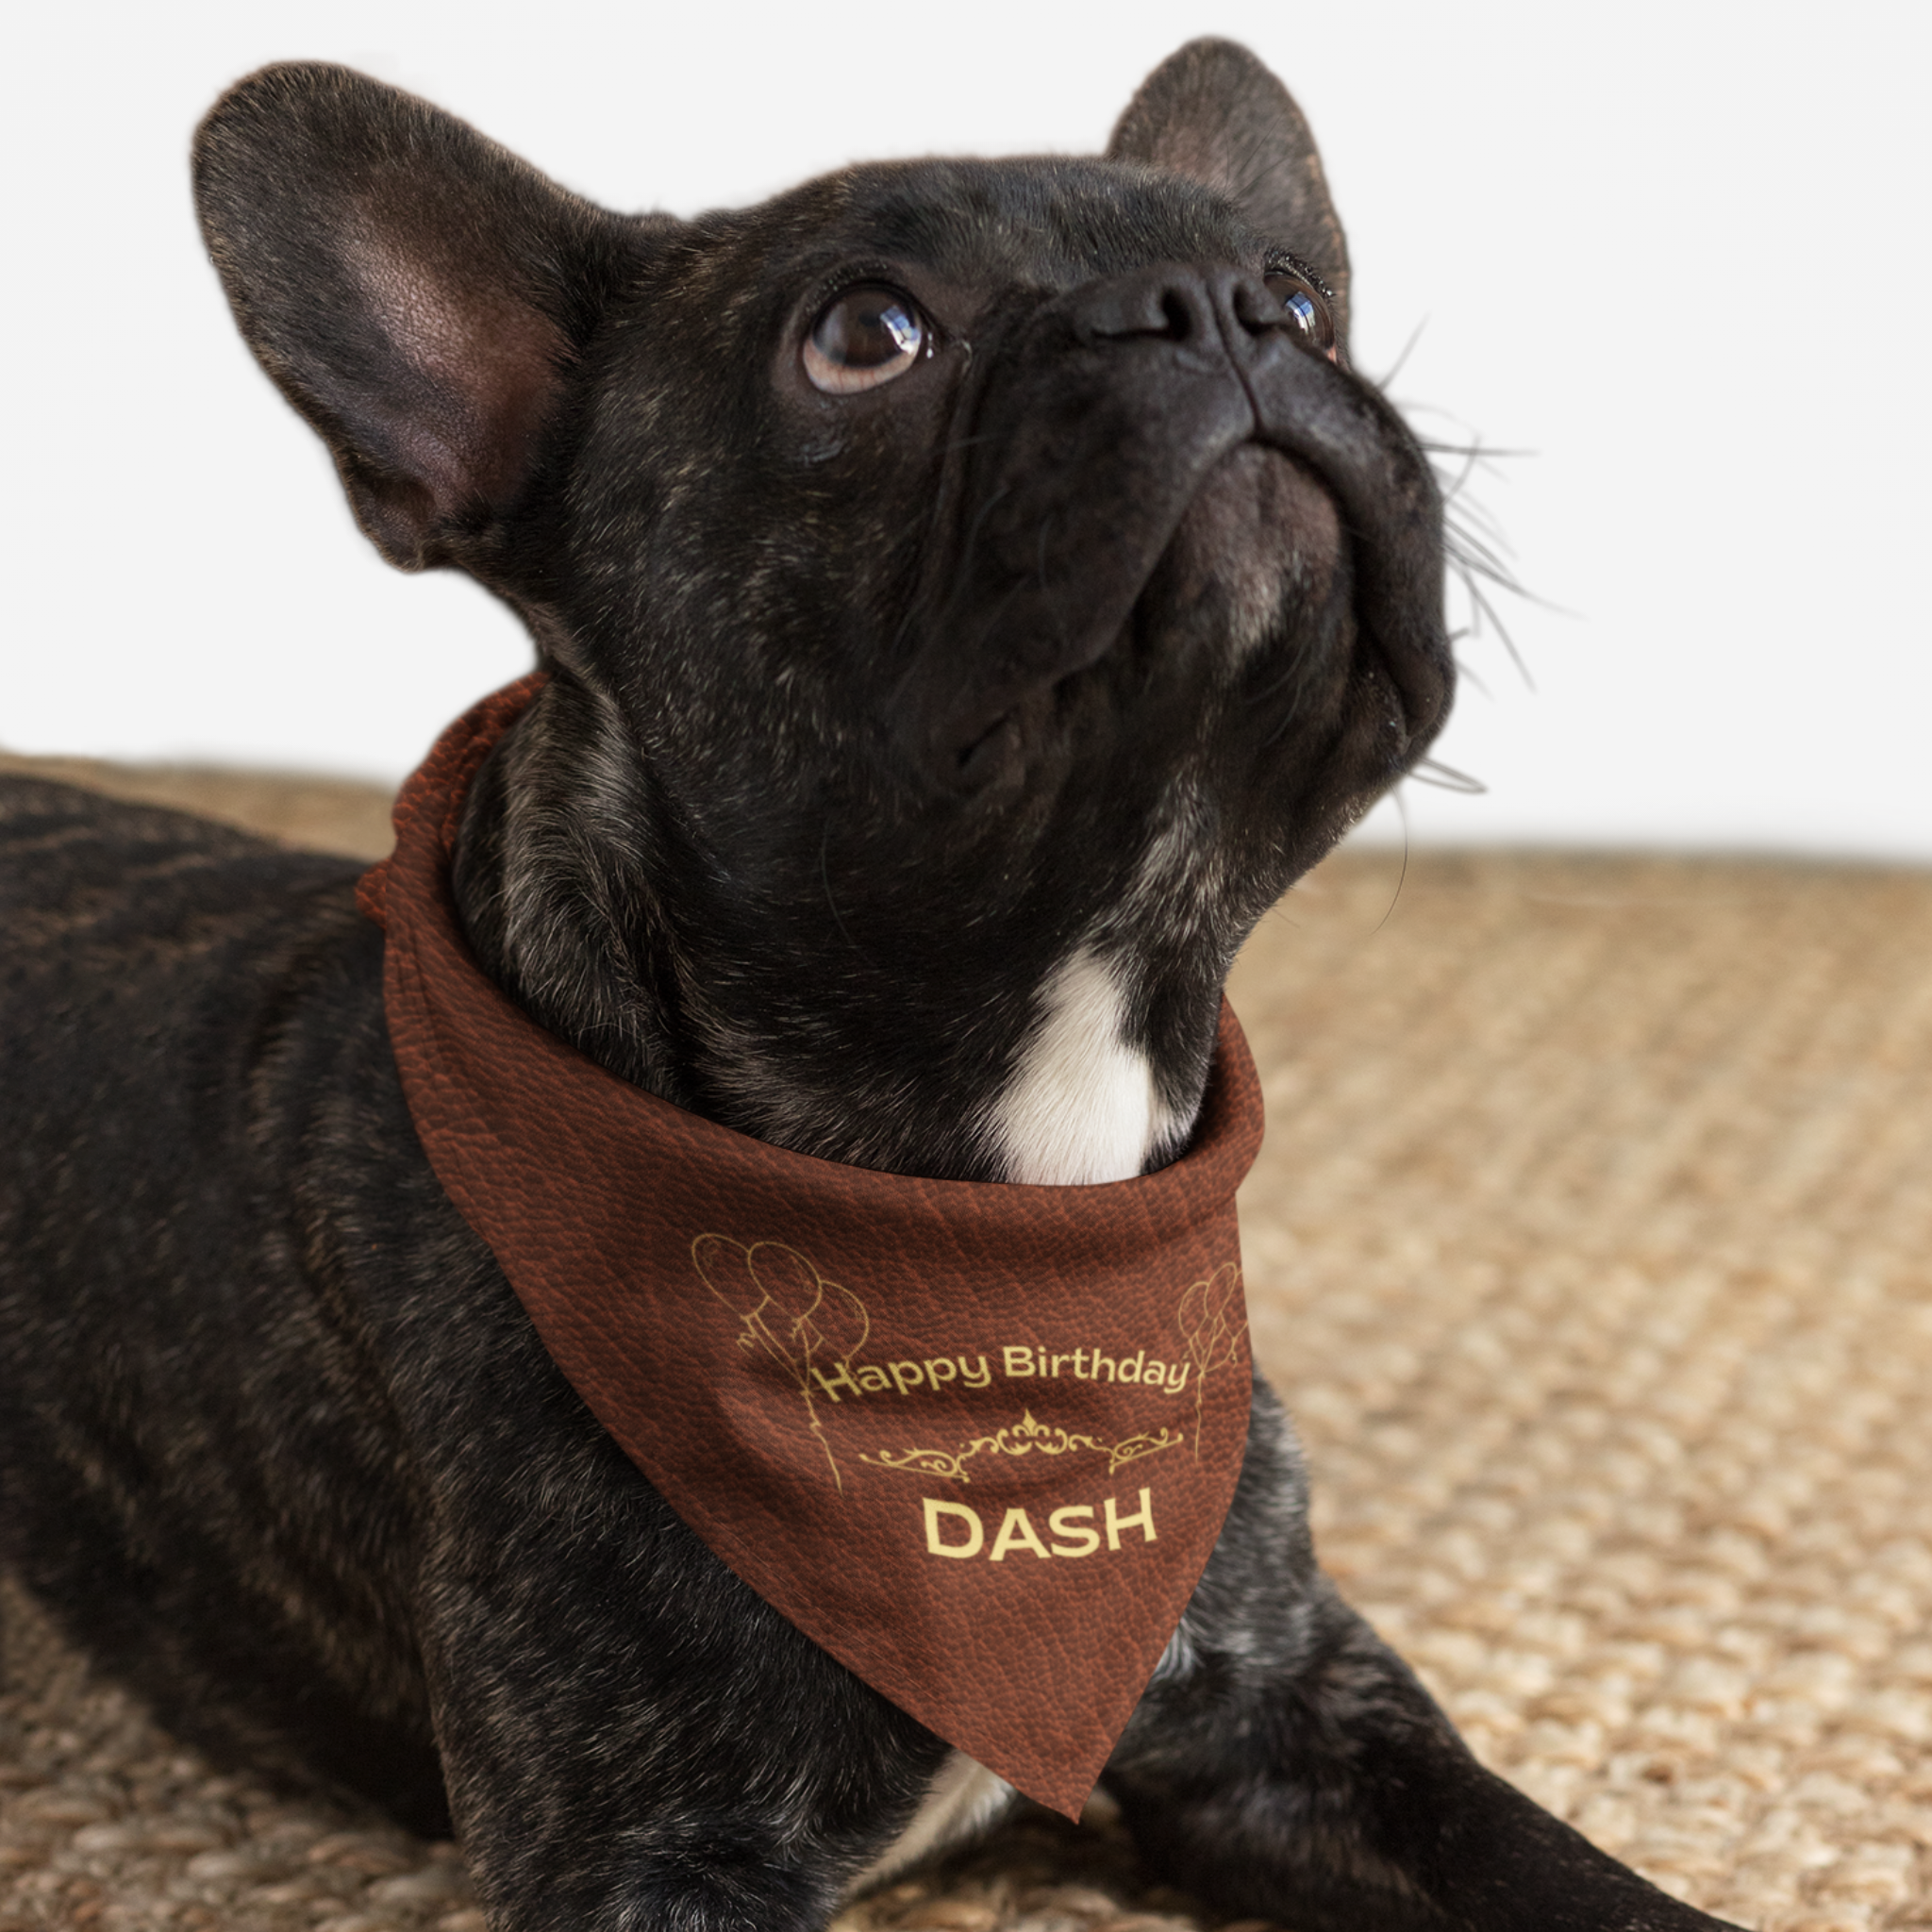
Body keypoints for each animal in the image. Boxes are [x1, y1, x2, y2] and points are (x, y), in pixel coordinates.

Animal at [0, 34, 1746, 1932]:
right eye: (864, 335)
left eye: (1298, 296)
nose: (1217, 309)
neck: (994, 1223)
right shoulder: (650, 1861)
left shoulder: (1298, 1715)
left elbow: (1576, 1877)